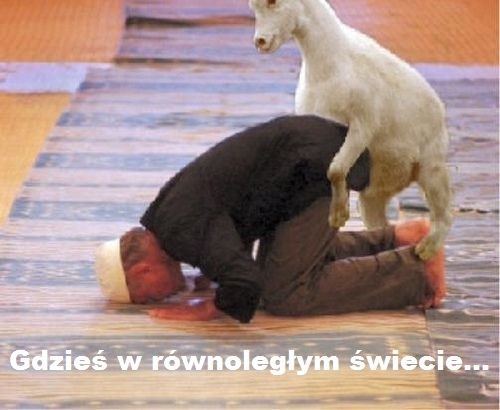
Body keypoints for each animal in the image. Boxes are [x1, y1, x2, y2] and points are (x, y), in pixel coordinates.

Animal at [249, 0, 452, 260]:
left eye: (274, 2)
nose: (261, 41)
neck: (330, 70)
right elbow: (332, 170)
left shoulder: (362, 127)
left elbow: (335, 169)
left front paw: (338, 216)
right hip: (373, 197)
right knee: (382, 226)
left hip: (431, 170)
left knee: (444, 216)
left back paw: (424, 250)